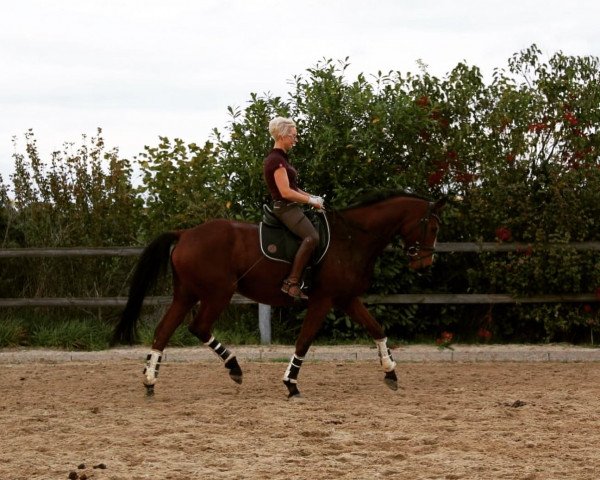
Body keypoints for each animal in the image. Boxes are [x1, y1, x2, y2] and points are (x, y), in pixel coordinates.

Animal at [112, 193, 446, 400]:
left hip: (186, 294)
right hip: (217, 293)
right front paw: (291, 384)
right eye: (431, 226)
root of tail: (185, 234)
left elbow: (377, 329)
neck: (352, 237)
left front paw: (391, 373)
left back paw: (150, 381)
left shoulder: (346, 298)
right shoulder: (323, 300)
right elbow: (305, 341)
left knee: (162, 332)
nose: (424, 263)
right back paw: (234, 368)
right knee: (198, 327)